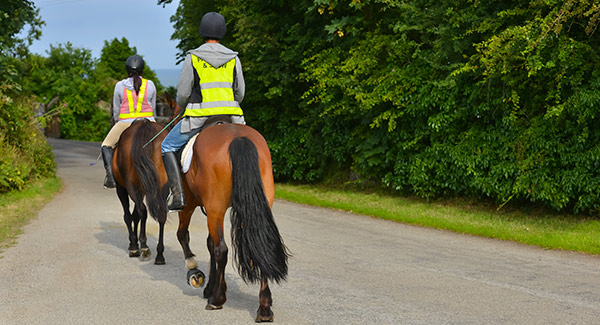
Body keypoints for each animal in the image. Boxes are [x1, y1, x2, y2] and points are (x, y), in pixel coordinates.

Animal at [111, 118, 169, 264]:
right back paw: (160, 255)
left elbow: (129, 216)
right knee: (161, 213)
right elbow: (135, 215)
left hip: (131, 187)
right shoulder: (143, 189)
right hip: (162, 185)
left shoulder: (122, 188)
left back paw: (143, 246)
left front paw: (133, 245)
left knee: (142, 210)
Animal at [166, 96, 290, 322]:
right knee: (260, 245)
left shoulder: (191, 205)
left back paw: (217, 299)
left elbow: (184, 235)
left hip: (213, 208)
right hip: (255, 205)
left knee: (221, 249)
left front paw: (195, 273)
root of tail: (237, 138)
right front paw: (208, 285)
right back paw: (264, 308)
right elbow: (208, 243)